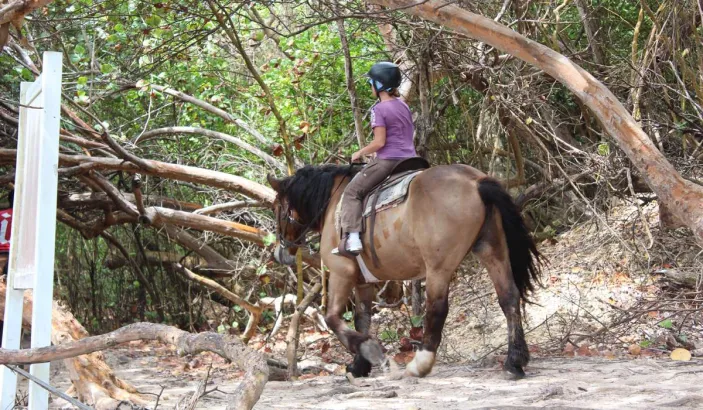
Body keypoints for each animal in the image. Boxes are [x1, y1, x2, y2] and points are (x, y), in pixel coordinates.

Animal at [267, 162, 542, 379]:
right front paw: (359, 366)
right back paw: (515, 361)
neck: (333, 200)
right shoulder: (363, 281)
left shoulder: (341, 271)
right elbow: (362, 320)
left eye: (277, 208)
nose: (280, 253)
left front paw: (371, 352)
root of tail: (475, 181)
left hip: (438, 268)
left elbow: (333, 318)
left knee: (437, 310)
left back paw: (420, 364)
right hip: (492, 249)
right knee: (509, 297)